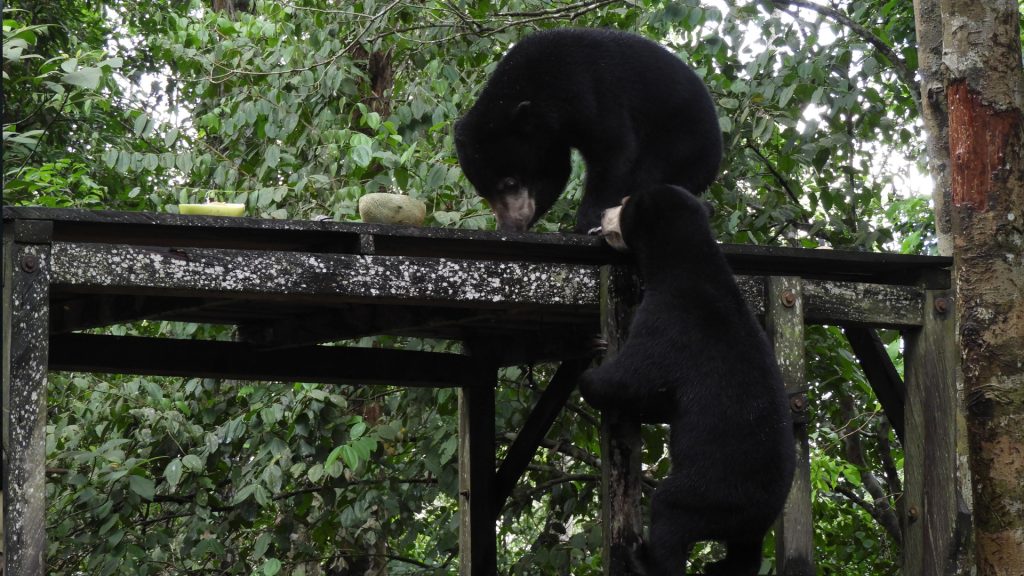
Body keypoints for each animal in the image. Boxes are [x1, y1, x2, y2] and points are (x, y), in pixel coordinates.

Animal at [452, 28, 724, 231]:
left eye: (509, 183)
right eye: (482, 192)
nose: (510, 225)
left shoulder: (594, 92)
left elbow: (614, 149)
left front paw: (587, 223)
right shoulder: (548, 135)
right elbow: (555, 169)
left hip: (682, 141)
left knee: (650, 173)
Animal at [581, 186, 794, 569]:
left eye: (624, 203)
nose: (602, 214)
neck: (687, 261)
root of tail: (762, 511)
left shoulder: (670, 319)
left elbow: (633, 376)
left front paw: (590, 372)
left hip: (712, 491)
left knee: (669, 516)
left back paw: (641, 558)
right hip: (745, 522)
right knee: (744, 555)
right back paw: (717, 567)